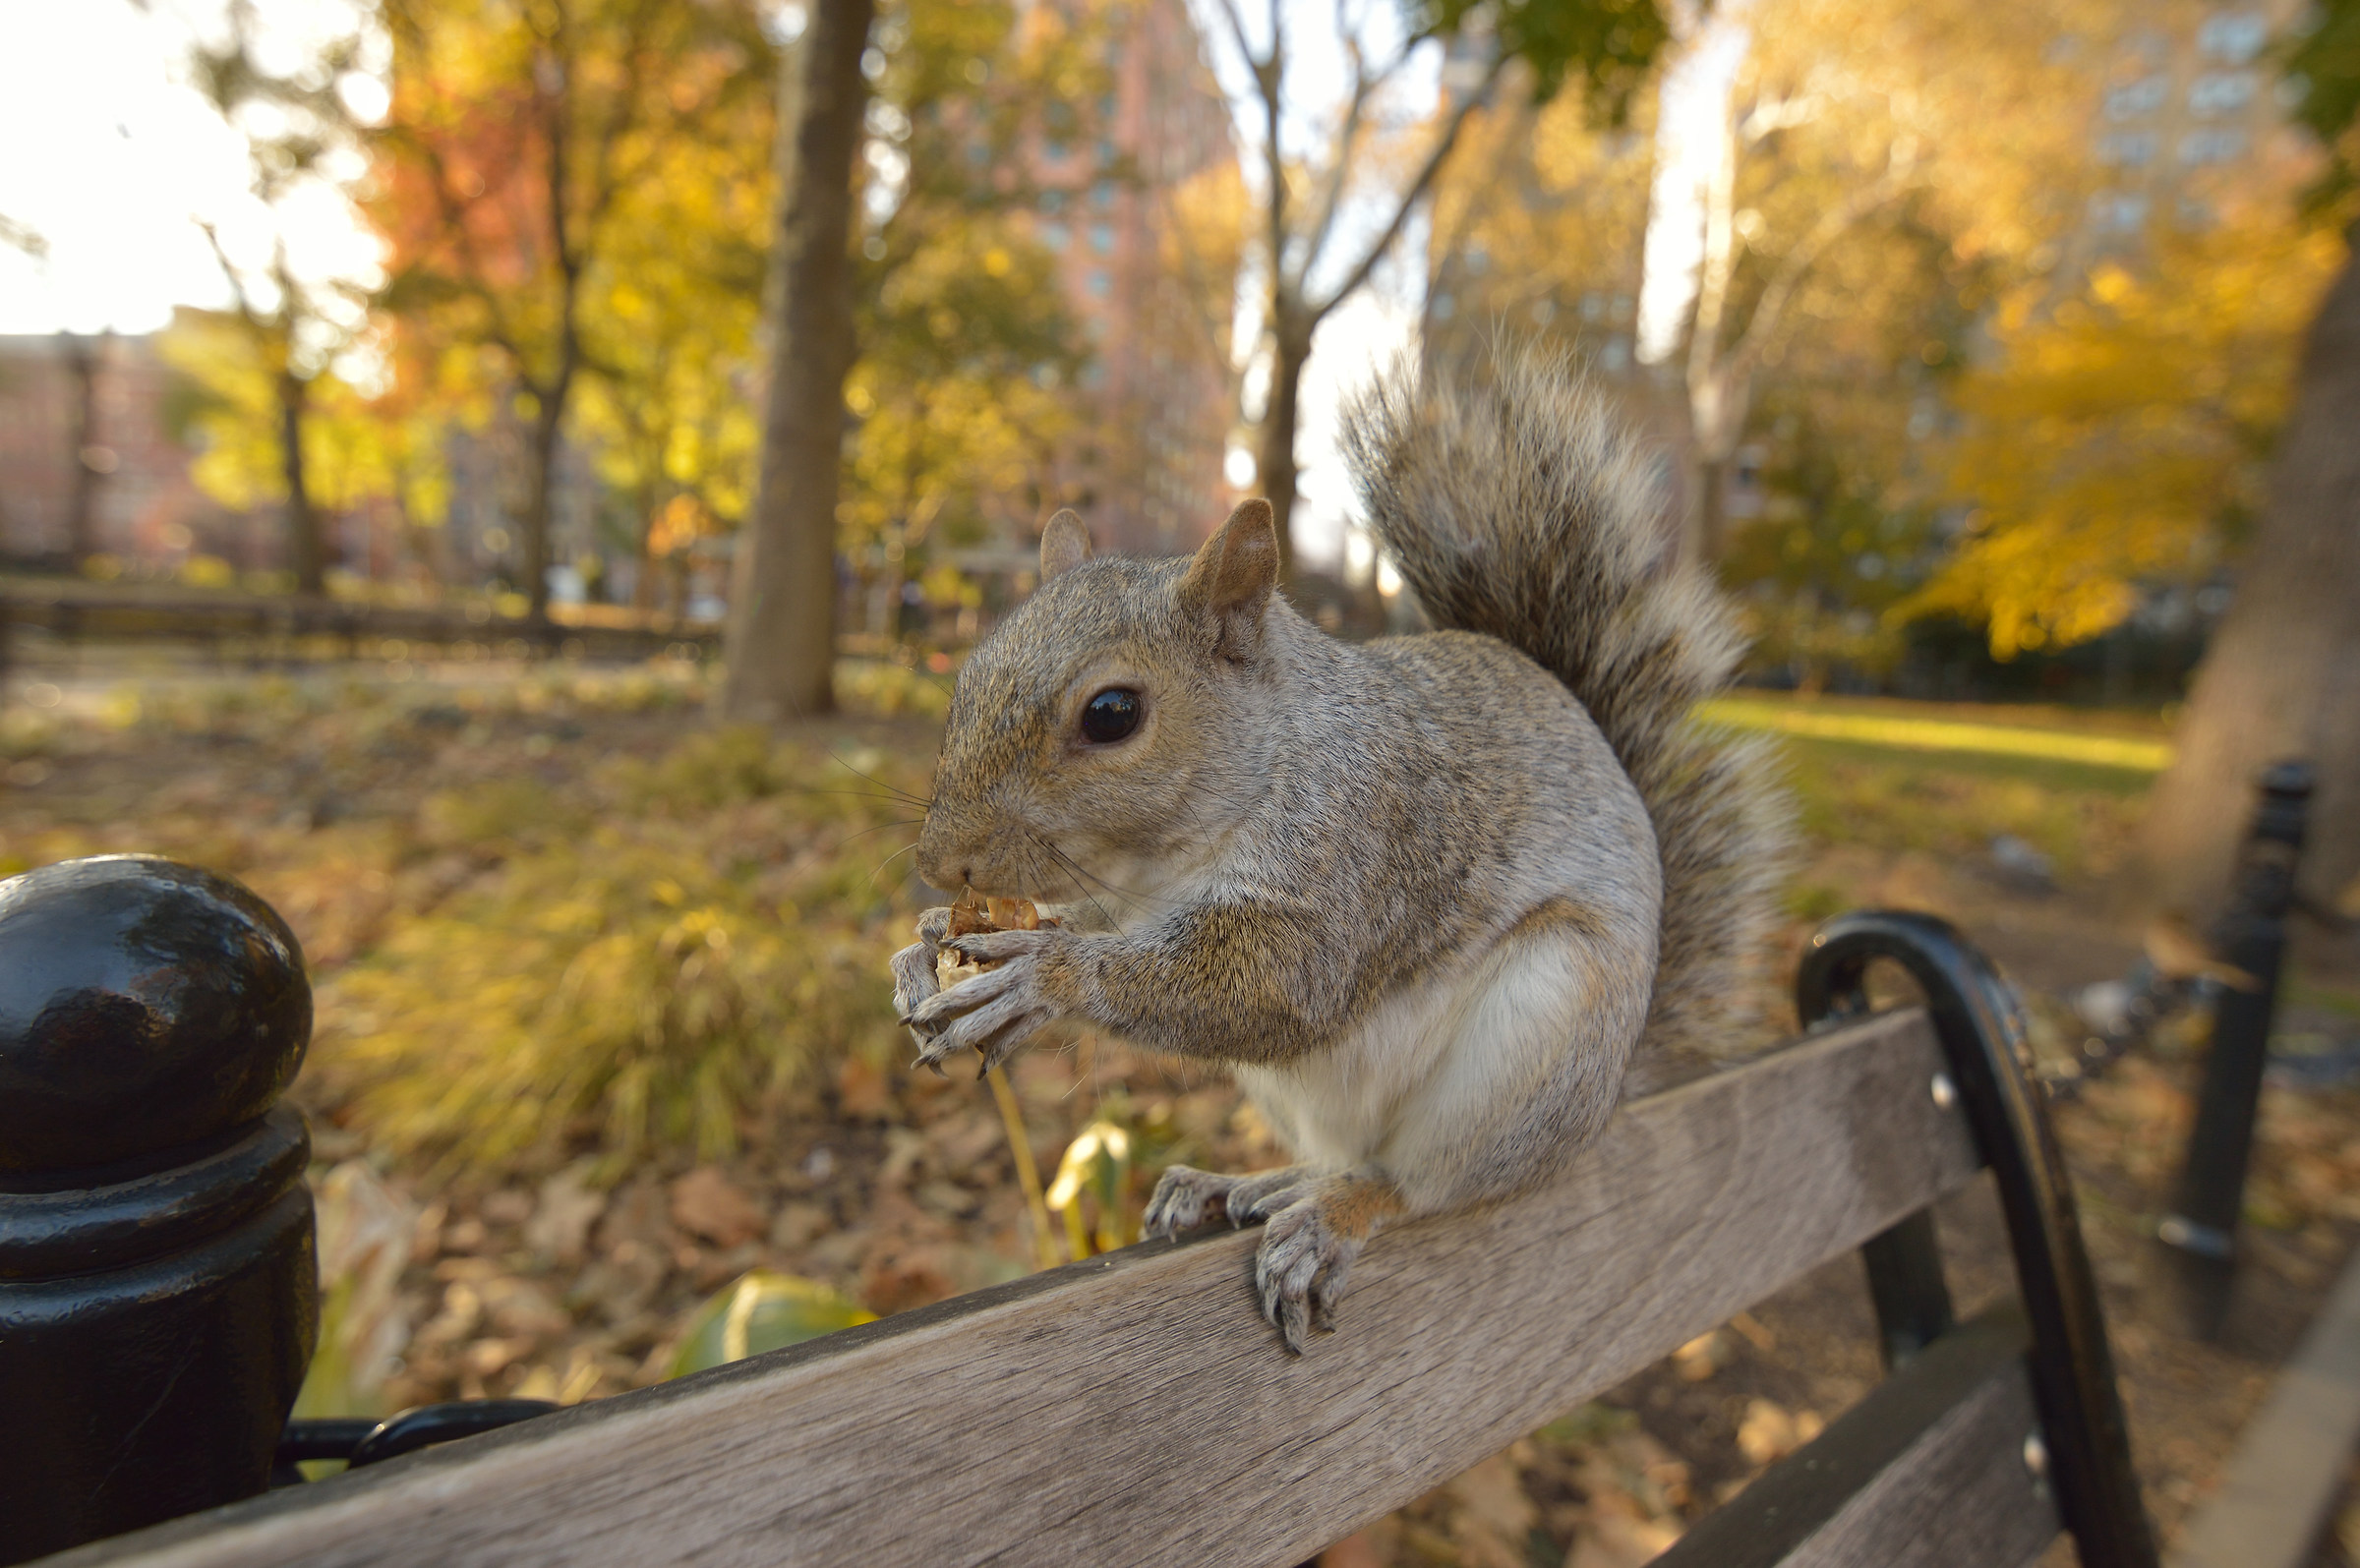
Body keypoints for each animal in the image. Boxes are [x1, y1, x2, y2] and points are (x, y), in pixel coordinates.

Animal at [891, 340, 1791, 1351]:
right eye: (966, 672)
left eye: (1112, 713)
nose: (941, 861)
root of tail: (1610, 1093)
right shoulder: (1126, 892)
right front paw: (921, 948)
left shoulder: (1366, 843)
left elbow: (1282, 984)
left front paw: (1039, 976)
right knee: (1339, 1152)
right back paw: (1247, 1182)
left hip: (1541, 1034)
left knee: (1414, 1182)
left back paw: (1330, 1214)